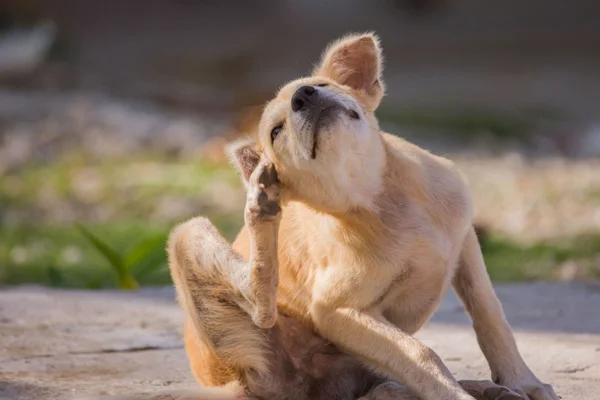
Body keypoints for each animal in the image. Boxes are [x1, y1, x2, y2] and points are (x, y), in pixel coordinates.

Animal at [79, 33, 556, 400]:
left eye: (320, 84)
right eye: (275, 131)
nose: (303, 96)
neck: (380, 198)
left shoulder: (465, 242)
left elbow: (490, 315)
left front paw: (522, 381)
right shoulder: (337, 310)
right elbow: (420, 353)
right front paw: (456, 392)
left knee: (381, 386)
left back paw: (483, 388)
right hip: (193, 243)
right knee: (262, 304)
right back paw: (261, 208)